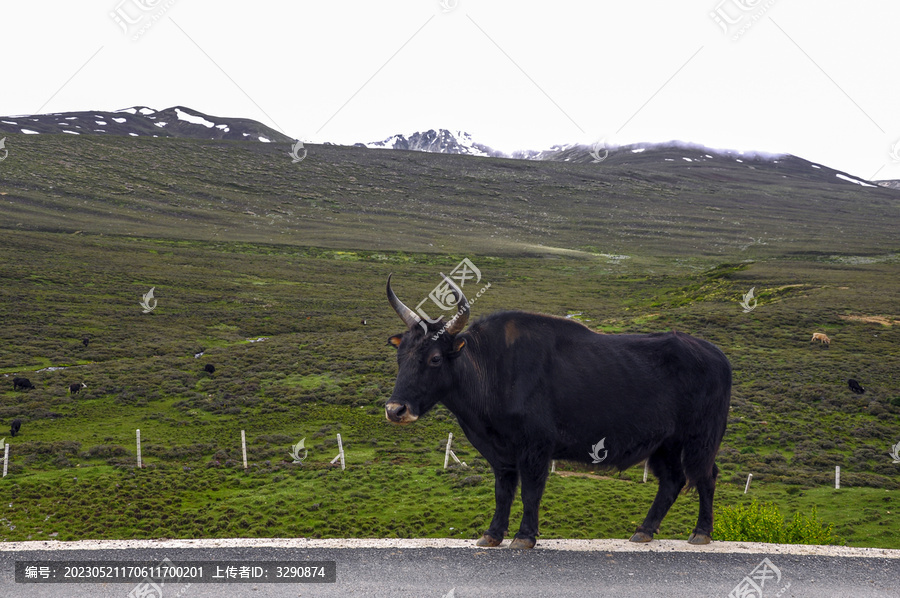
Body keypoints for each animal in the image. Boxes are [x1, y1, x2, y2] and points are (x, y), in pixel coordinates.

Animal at [384, 276, 732, 552]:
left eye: (434, 358)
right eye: (400, 355)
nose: (395, 410)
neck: (492, 369)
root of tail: (717, 354)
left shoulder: (536, 447)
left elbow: (530, 491)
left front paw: (524, 537)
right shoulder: (499, 452)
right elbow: (503, 491)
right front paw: (492, 535)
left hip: (700, 439)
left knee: (705, 476)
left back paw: (701, 533)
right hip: (666, 444)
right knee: (672, 481)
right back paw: (643, 531)